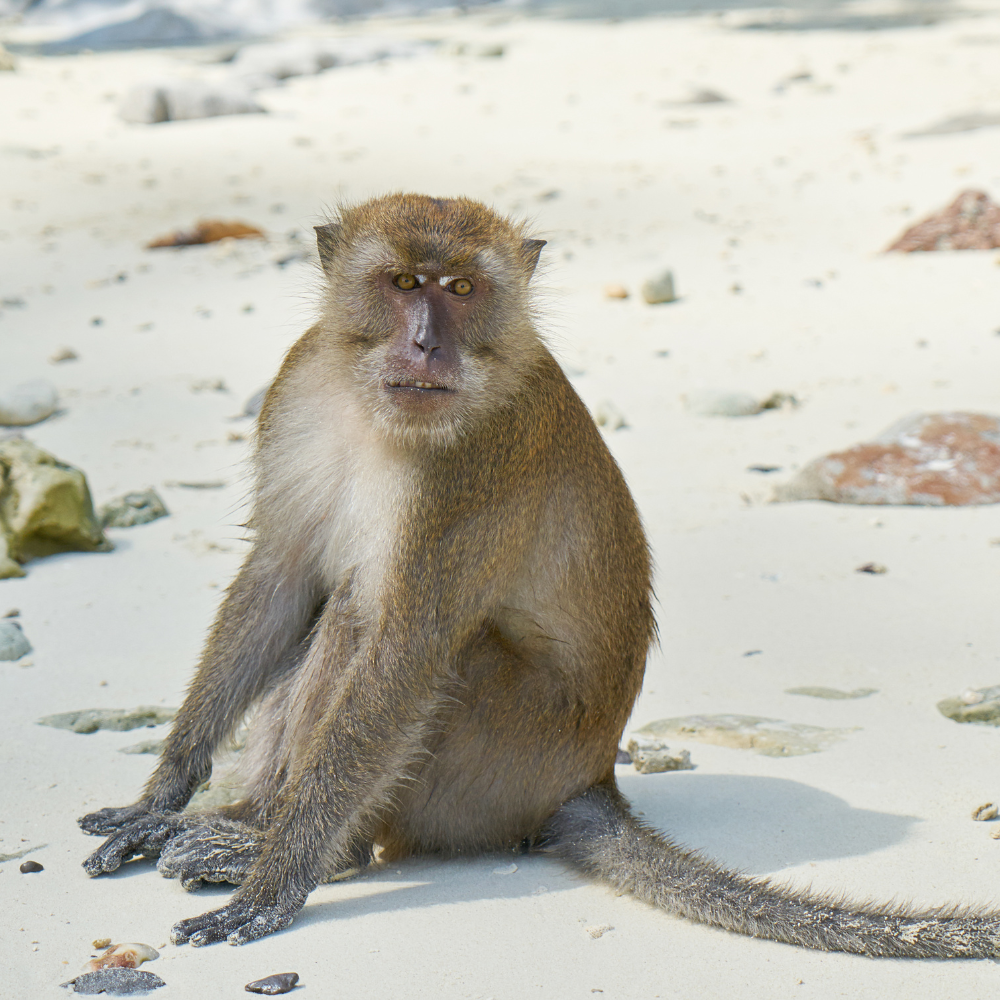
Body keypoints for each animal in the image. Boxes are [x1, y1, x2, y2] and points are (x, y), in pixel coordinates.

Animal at [78, 193, 1000, 952]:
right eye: (404, 282)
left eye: (461, 288)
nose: (426, 343)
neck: (370, 405)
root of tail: (588, 780)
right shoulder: (297, 387)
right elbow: (279, 576)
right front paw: (158, 800)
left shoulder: (471, 463)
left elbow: (406, 649)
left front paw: (280, 878)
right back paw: (246, 816)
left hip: (498, 757)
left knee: (380, 626)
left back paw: (293, 846)